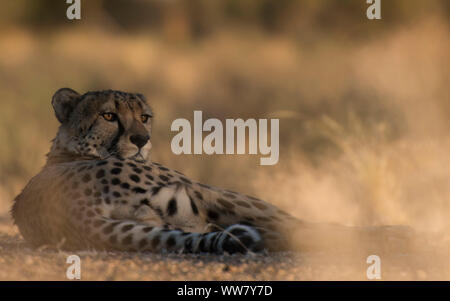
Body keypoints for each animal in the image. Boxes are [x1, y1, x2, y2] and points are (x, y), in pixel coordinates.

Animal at [11, 88, 412, 252]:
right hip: (207, 192)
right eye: (109, 116)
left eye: (144, 117)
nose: (141, 139)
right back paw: (396, 234)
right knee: (295, 225)